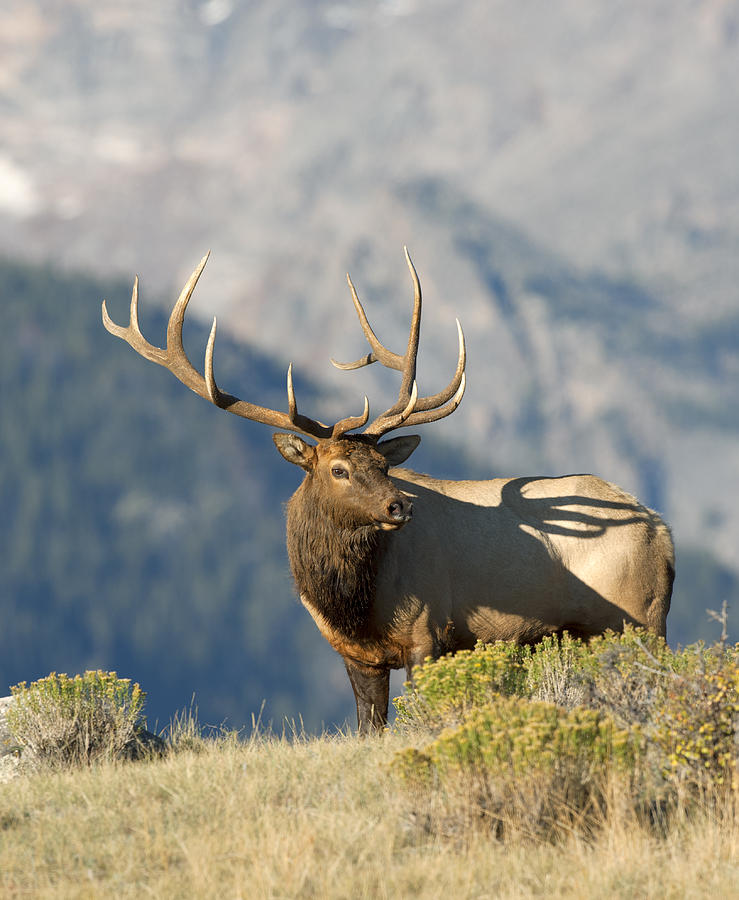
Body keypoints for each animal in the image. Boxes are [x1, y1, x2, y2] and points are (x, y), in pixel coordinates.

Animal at [104, 246, 676, 732]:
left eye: (383, 463)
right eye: (338, 469)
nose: (399, 506)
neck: (353, 602)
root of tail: (664, 531)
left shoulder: (430, 635)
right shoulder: (355, 654)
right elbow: (368, 728)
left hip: (640, 619)